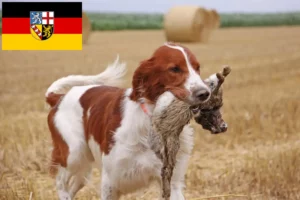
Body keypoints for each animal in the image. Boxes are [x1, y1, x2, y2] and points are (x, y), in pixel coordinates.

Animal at [45, 42, 210, 200]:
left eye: (197, 68)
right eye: (174, 69)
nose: (205, 93)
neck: (151, 123)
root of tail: (58, 98)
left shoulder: (171, 181)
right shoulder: (110, 181)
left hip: (83, 166)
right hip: (74, 153)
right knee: (60, 182)